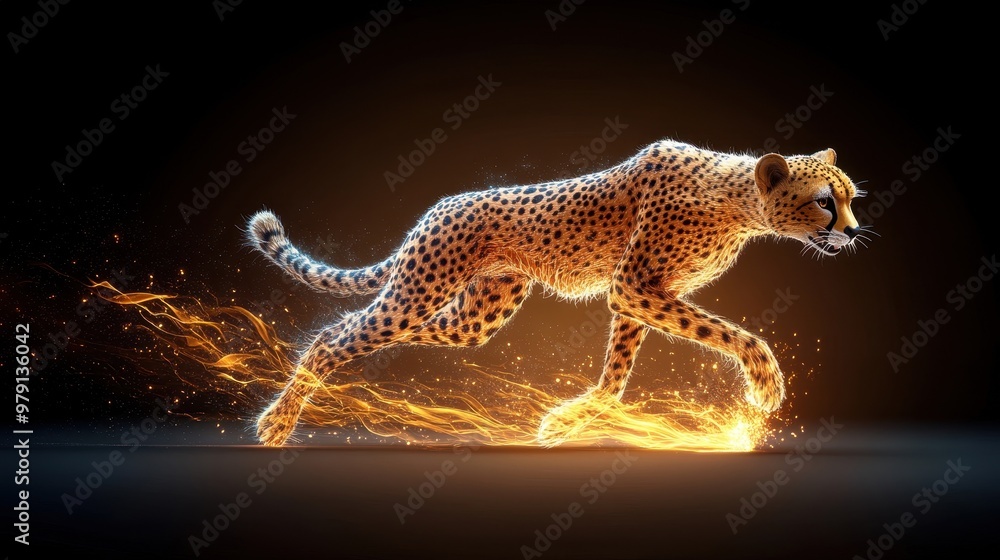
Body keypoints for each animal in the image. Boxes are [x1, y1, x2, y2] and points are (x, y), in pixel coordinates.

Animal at [246, 139, 867, 447]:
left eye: (850, 198)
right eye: (823, 202)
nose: (856, 231)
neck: (739, 204)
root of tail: (436, 207)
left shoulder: (640, 295)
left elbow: (615, 378)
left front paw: (566, 421)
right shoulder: (634, 286)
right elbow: (735, 335)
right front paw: (766, 386)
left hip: (474, 315)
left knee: (356, 329)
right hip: (417, 292)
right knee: (336, 336)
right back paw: (276, 423)